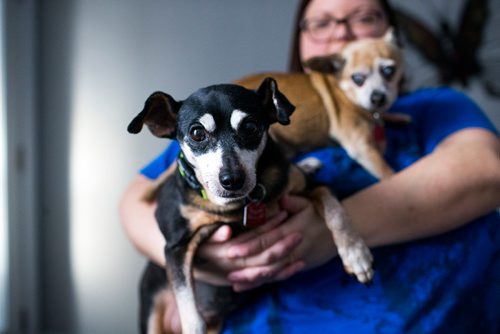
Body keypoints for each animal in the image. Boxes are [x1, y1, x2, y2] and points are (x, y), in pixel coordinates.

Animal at [127, 77, 374, 332]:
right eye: (197, 133)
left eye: (250, 127)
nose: (232, 179)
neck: (236, 205)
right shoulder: (176, 245)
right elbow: (189, 308)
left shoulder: (312, 187)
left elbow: (335, 211)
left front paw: (357, 255)